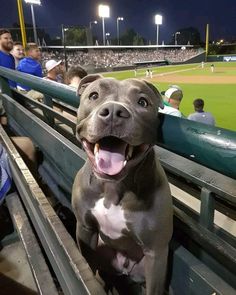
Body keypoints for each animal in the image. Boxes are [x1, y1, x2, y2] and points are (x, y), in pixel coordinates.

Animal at [72, 75, 173, 294]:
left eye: (143, 102)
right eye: (94, 95)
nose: (113, 112)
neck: (112, 189)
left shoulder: (156, 253)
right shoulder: (85, 228)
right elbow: (88, 265)